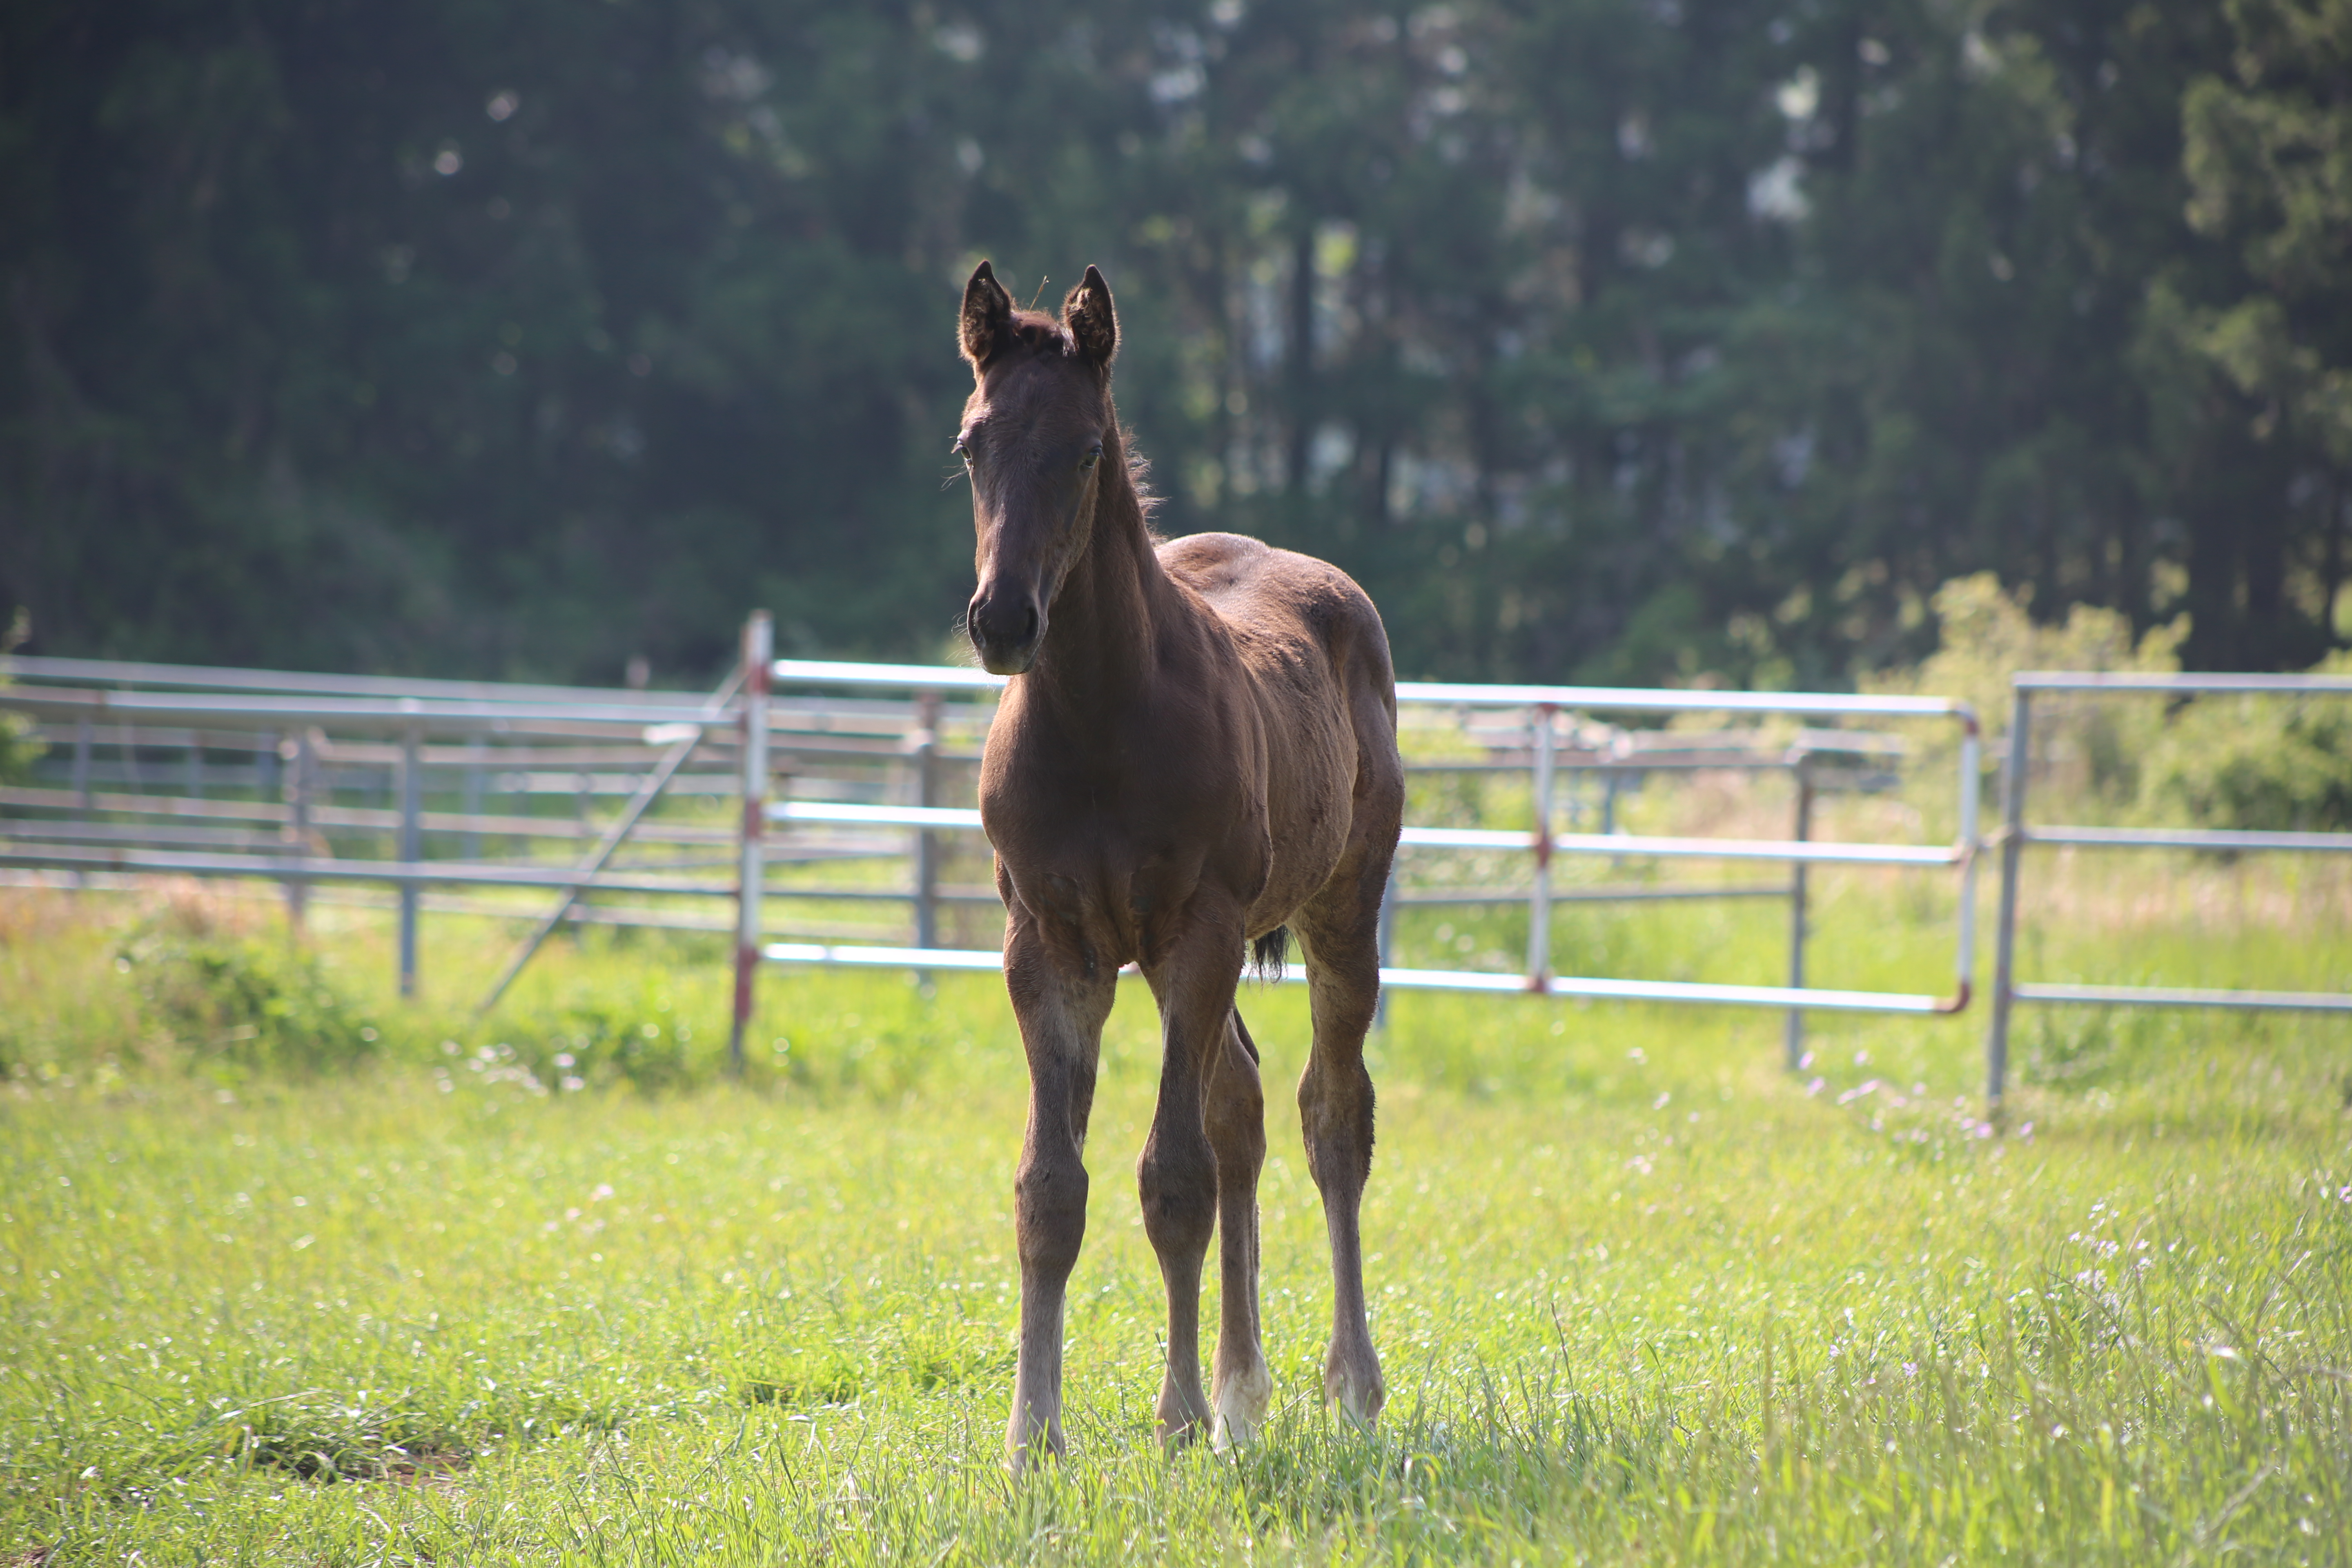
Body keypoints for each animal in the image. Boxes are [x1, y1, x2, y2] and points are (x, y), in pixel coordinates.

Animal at [950, 261, 1401, 1476]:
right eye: (971, 444)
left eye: (1085, 450)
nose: (1003, 620)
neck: (1101, 721)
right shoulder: (1050, 947)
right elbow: (1051, 1187)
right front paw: (1032, 1437)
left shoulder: (1196, 928)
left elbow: (1174, 1176)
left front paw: (1182, 1418)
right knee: (1240, 1102)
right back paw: (1247, 1391)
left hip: (1339, 913)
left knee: (1329, 1115)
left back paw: (1345, 1386)